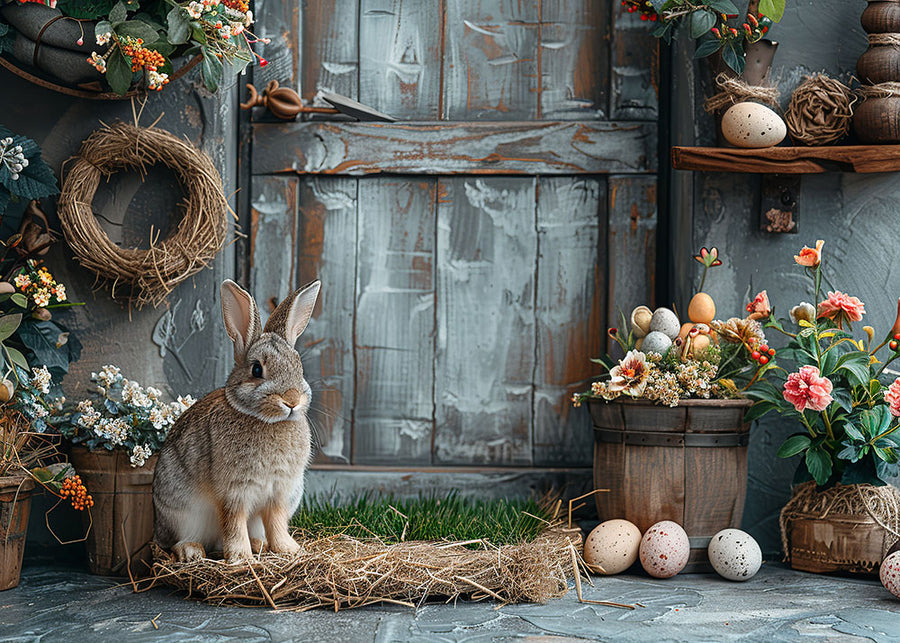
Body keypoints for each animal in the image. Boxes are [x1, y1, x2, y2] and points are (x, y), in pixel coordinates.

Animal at [154, 280, 320, 560]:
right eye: (256, 369)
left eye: (299, 368)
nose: (292, 400)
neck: (267, 421)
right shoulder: (234, 491)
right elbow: (233, 521)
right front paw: (240, 557)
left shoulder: (279, 493)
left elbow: (276, 522)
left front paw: (288, 550)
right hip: (183, 513)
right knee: (183, 540)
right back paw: (192, 551)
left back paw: (259, 544)